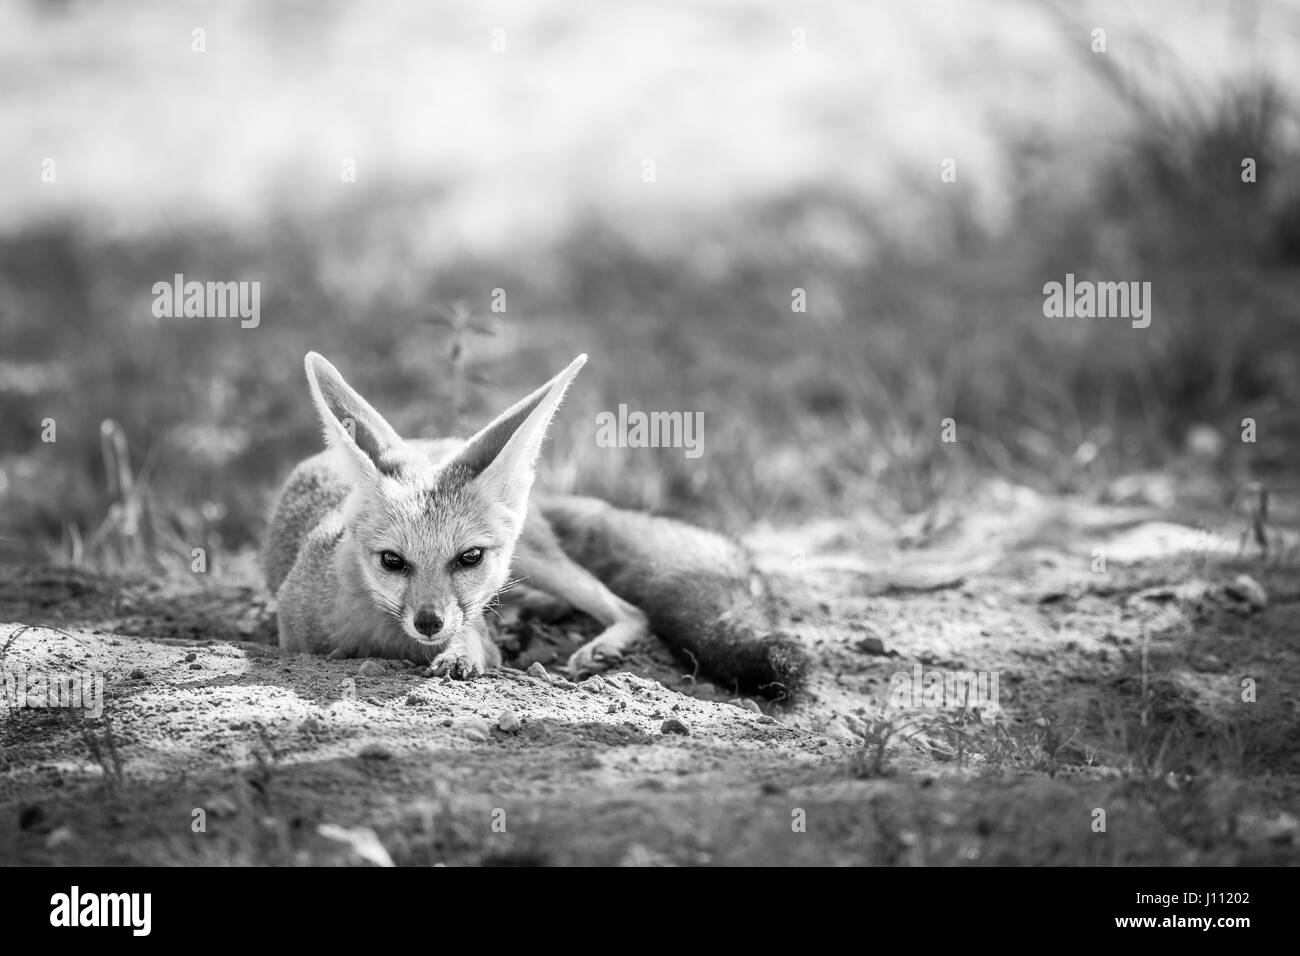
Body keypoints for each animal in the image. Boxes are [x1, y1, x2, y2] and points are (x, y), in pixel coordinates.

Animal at [262, 351, 806, 697]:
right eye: (392, 561)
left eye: (469, 558)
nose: (429, 623)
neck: (385, 640)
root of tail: (434, 439)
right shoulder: (295, 639)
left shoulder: (475, 625)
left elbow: (476, 643)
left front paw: (460, 656)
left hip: (542, 562)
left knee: (629, 608)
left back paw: (594, 645)